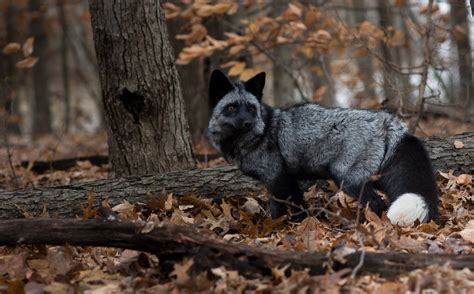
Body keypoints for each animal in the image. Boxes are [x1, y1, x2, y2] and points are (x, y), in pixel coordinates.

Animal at [206, 69, 438, 225]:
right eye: (232, 108)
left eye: (251, 108)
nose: (248, 123)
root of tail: (386, 120)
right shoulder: (287, 180)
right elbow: (299, 207)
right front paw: (298, 225)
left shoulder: (275, 178)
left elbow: (278, 209)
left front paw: (276, 228)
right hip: (373, 177)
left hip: (347, 179)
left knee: (377, 203)